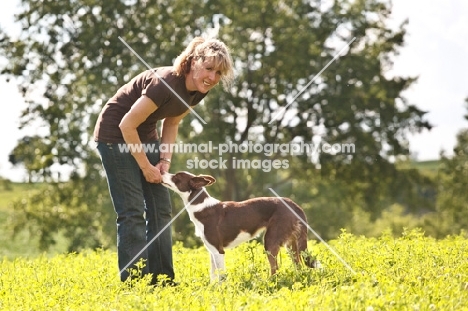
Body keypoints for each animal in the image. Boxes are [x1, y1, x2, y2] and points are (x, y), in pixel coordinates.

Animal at [161, 172, 318, 282]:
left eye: (176, 177)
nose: (161, 172)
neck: (200, 206)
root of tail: (294, 204)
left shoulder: (218, 251)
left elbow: (221, 277)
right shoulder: (211, 250)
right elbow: (213, 275)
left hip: (271, 241)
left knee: (275, 269)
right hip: (291, 244)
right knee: (298, 265)